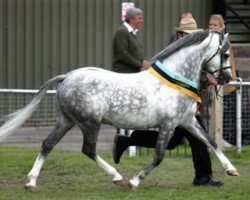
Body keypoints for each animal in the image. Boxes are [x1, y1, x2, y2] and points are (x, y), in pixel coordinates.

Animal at [0, 29, 238, 191]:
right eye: (226, 54)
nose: (227, 79)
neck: (175, 80)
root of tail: (66, 77)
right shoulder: (168, 125)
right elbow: (159, 156)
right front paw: (135, 181)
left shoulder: (188, 121)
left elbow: (211, 142)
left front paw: (231, 169)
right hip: (89, 123)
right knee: (88, 150)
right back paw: (117, 177)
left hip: (66, 120)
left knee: (47, 144)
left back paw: (31, 182)